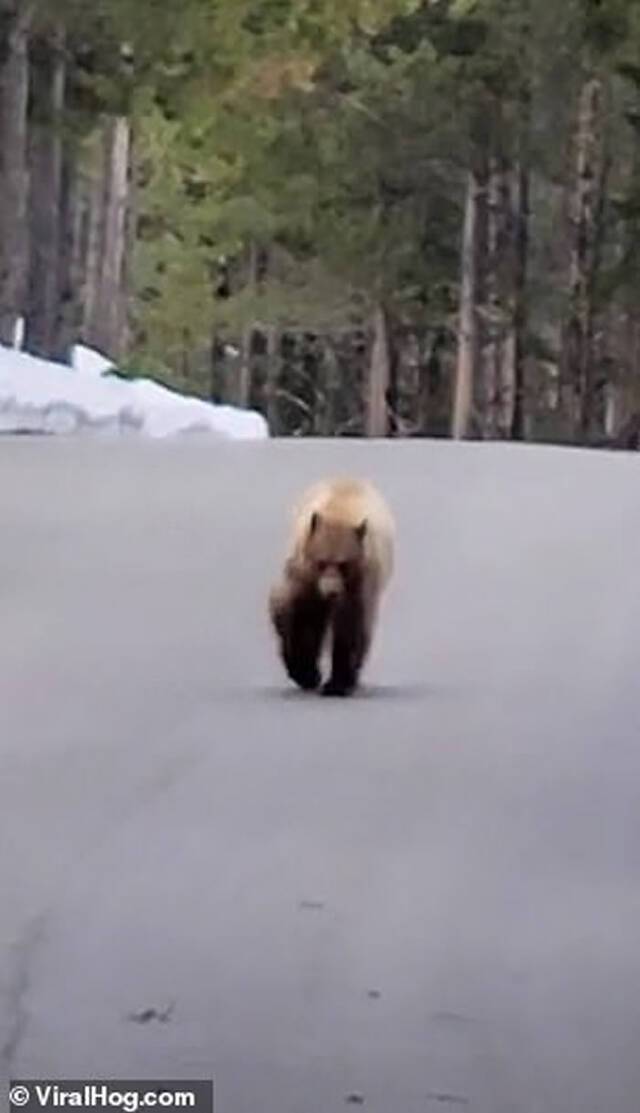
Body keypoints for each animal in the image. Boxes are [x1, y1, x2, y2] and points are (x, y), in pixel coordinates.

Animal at [267, 476, 396, 694]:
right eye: (321, 562)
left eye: (344, 564)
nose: (331, 591)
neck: (340, 514)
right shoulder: (304, 577)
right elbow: (300, 617)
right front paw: (306, 673)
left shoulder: (359, 582)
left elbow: (349, 627)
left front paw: (337, 683)